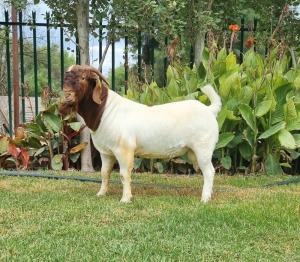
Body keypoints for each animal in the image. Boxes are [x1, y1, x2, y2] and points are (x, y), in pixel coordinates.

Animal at [59, 65, 221, 203]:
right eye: (65, 77)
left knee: (209, 172)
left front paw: (125, 199)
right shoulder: (105, 152)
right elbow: (104, 173)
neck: (105, 110)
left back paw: (205, 199)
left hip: (203, 148)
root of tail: (210, 109)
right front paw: (101, 194)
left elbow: (124, 174)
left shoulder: (124, 150)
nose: (67, 96)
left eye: (83, 78)